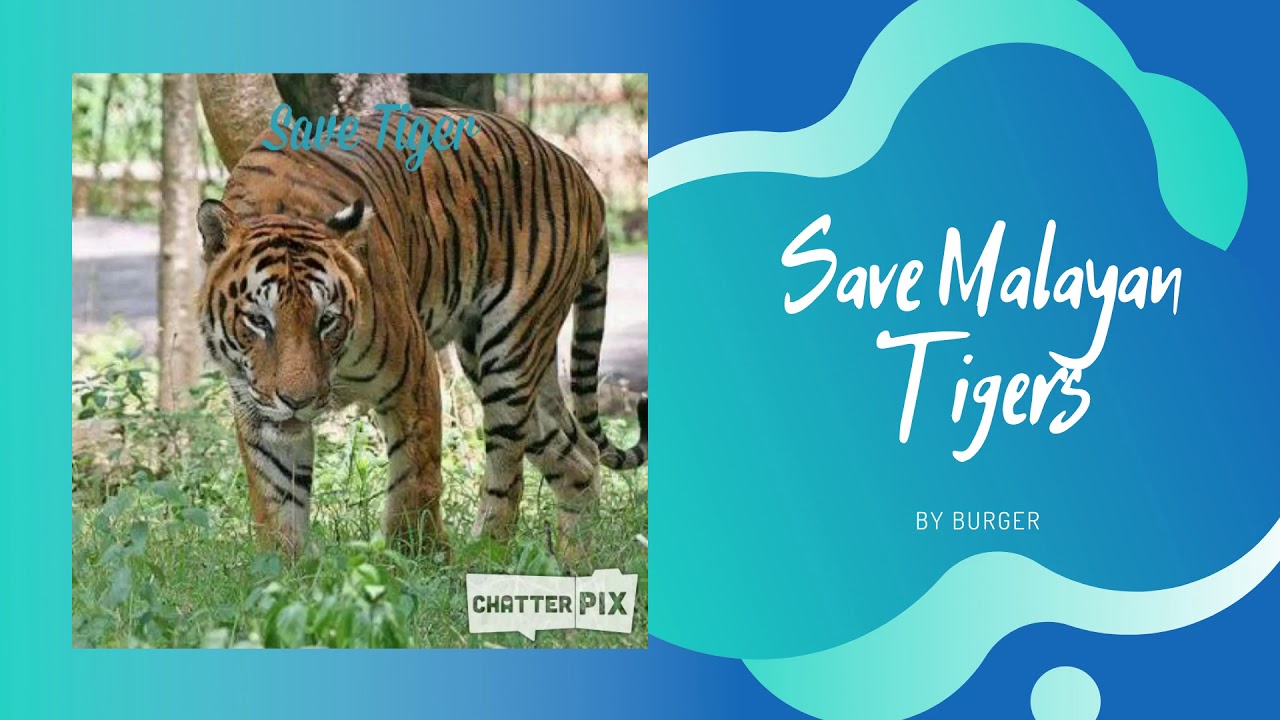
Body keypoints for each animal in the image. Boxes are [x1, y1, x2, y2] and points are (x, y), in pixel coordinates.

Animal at [195, 107, 647, 558]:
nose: (297, 402)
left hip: (509, 353)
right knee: (580, 458)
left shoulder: (413, 375)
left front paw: (418, 555)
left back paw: (485, 553)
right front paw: (284, 566)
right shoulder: (255, 405)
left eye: (327, 321)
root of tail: (581, 175)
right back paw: (576, 558)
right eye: (259, 321)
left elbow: (416, 477)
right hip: (503, 366)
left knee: (508, 471)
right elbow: (277, 499)